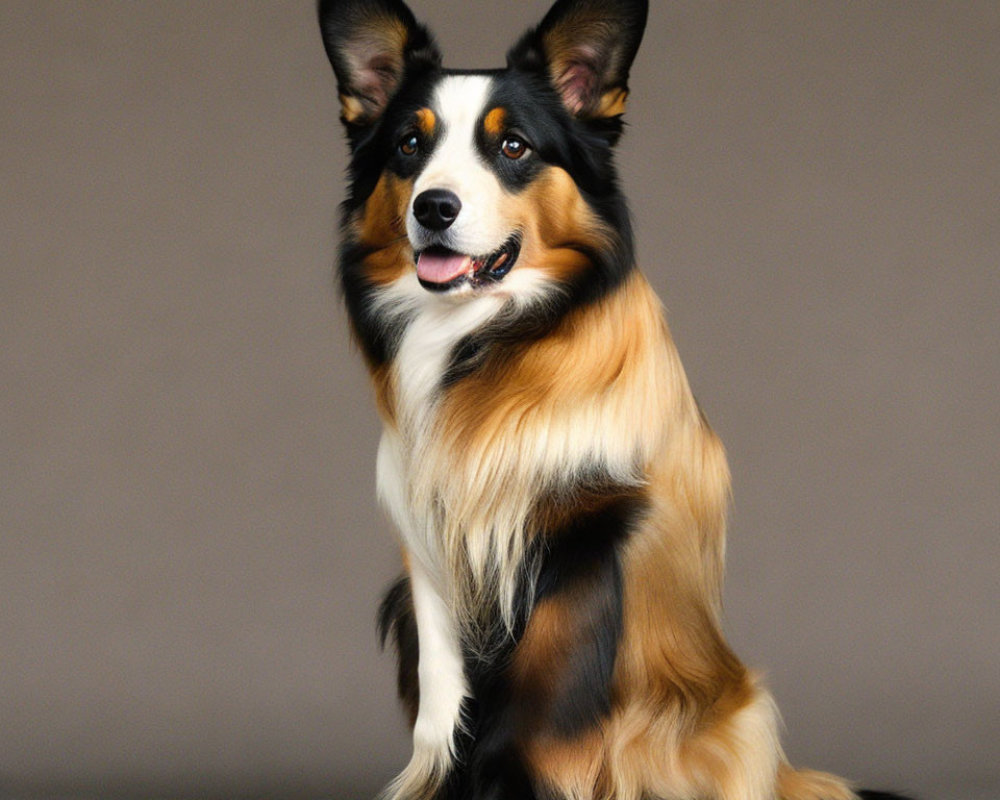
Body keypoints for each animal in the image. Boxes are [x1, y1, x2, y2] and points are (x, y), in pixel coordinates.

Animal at [318, 1, 908, 800]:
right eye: (410, 144)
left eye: (513, 145)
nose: (433, 208)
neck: (491, 341)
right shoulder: (428, 544)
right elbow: (443, 703)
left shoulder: (591, 525)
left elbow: (547, 691)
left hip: (736, 711)